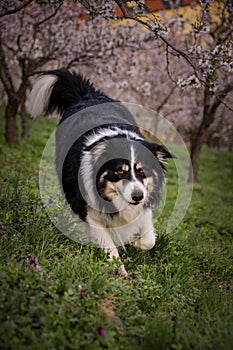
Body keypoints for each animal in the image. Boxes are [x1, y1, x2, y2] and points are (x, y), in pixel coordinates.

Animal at [29, 69, 174, 274]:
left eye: (142, 171)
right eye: (120, 172)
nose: (137, 196)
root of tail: (88, 95)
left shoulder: (144, 200)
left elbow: (148, 240)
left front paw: (137, 242)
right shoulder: (89, 209)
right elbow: (109, 245)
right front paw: (120, 272)